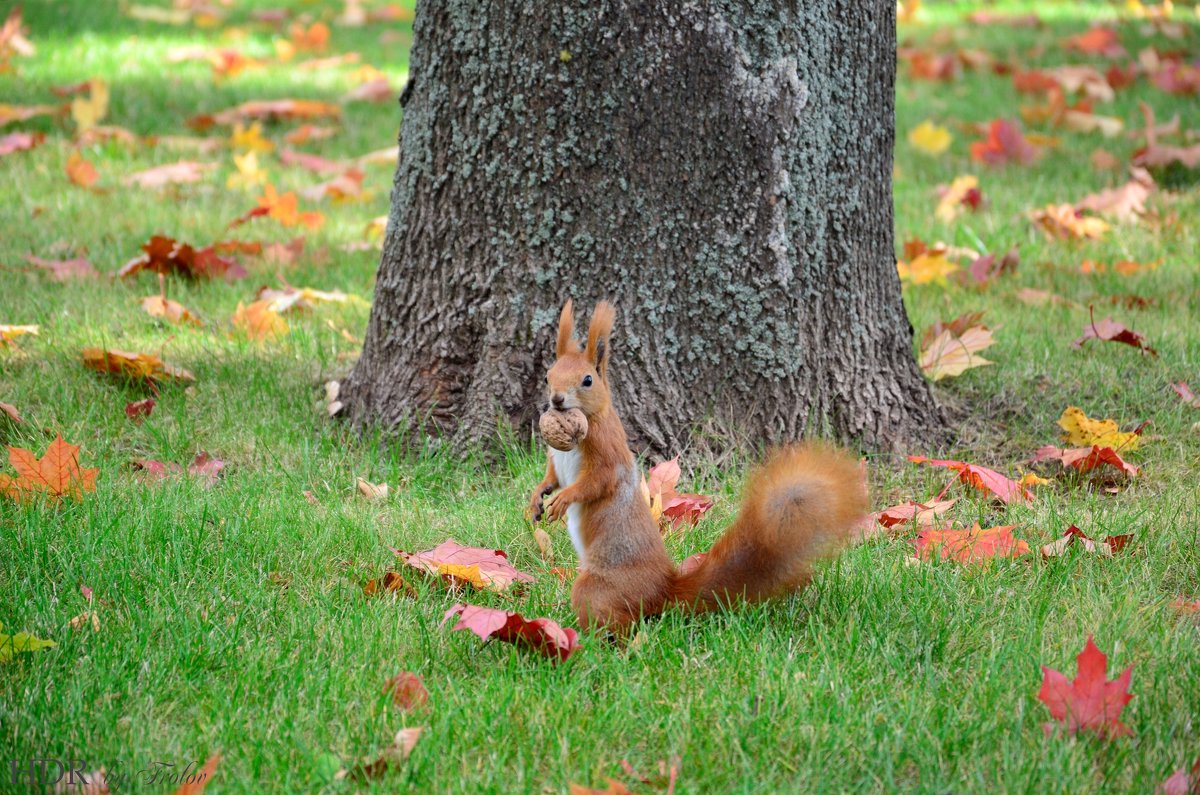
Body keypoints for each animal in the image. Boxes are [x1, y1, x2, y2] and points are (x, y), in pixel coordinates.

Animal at [530, 299, 868, 634]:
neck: (591, 417)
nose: (556, 400)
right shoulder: (556, 458)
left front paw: (564, 499)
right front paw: (538, 496)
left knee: (620, 625)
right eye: (547, 376)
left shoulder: (607, 446)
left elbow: (600, 480)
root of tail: (663, 591)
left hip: (598, 589)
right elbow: (552, 476)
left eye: (587, 380)